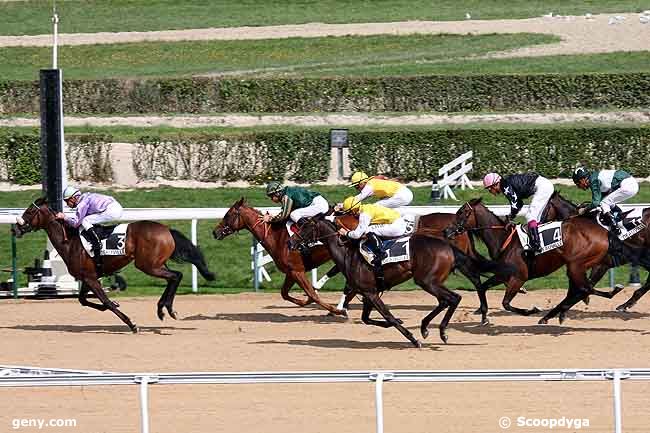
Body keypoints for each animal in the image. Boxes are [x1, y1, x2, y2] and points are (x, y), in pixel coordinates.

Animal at [12, 197, 215, 332]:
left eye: (30, 211)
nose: (15, 228)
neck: (70, 241)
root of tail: (167, 230)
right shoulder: (89, 277)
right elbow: (84, 300)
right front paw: (115, 305)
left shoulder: (90, 278)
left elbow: (105, 301)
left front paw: (132, 324)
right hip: (156, 264)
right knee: (174, 277)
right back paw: (164, 309)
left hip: (147, 265)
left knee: (175, 276)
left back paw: (165, 309)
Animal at [211, 197, 344, 316]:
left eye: (228, 215)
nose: (215, 232)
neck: (277, 237)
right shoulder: (291, 272)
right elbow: (284, 293)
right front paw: (306, 301)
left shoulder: (297, 270)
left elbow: (312, 295)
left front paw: (337, 311)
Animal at [288, 214, 512, 346]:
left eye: (304, 227)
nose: (290, 243)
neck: (348, 253)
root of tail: (448, 246)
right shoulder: (368, 293)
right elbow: (367, 319)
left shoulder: (370, 292)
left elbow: (389, 316)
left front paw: (412, 338)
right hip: (431, 281)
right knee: (446, 300)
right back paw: (427, 327)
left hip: (426, 281)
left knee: (453, 298)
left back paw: (438, 331)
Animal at [442, 197, 640, 322]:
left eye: (461, 213)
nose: (446, 231)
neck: (504, 239)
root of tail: (604, 232)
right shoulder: (502, 275)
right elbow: (482, 287)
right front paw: (483, 316)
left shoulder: (518, 277)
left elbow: (506, 303)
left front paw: (531, 310)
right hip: (580, 265)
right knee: (583, 288)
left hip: (577, 264)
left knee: (585, 288)